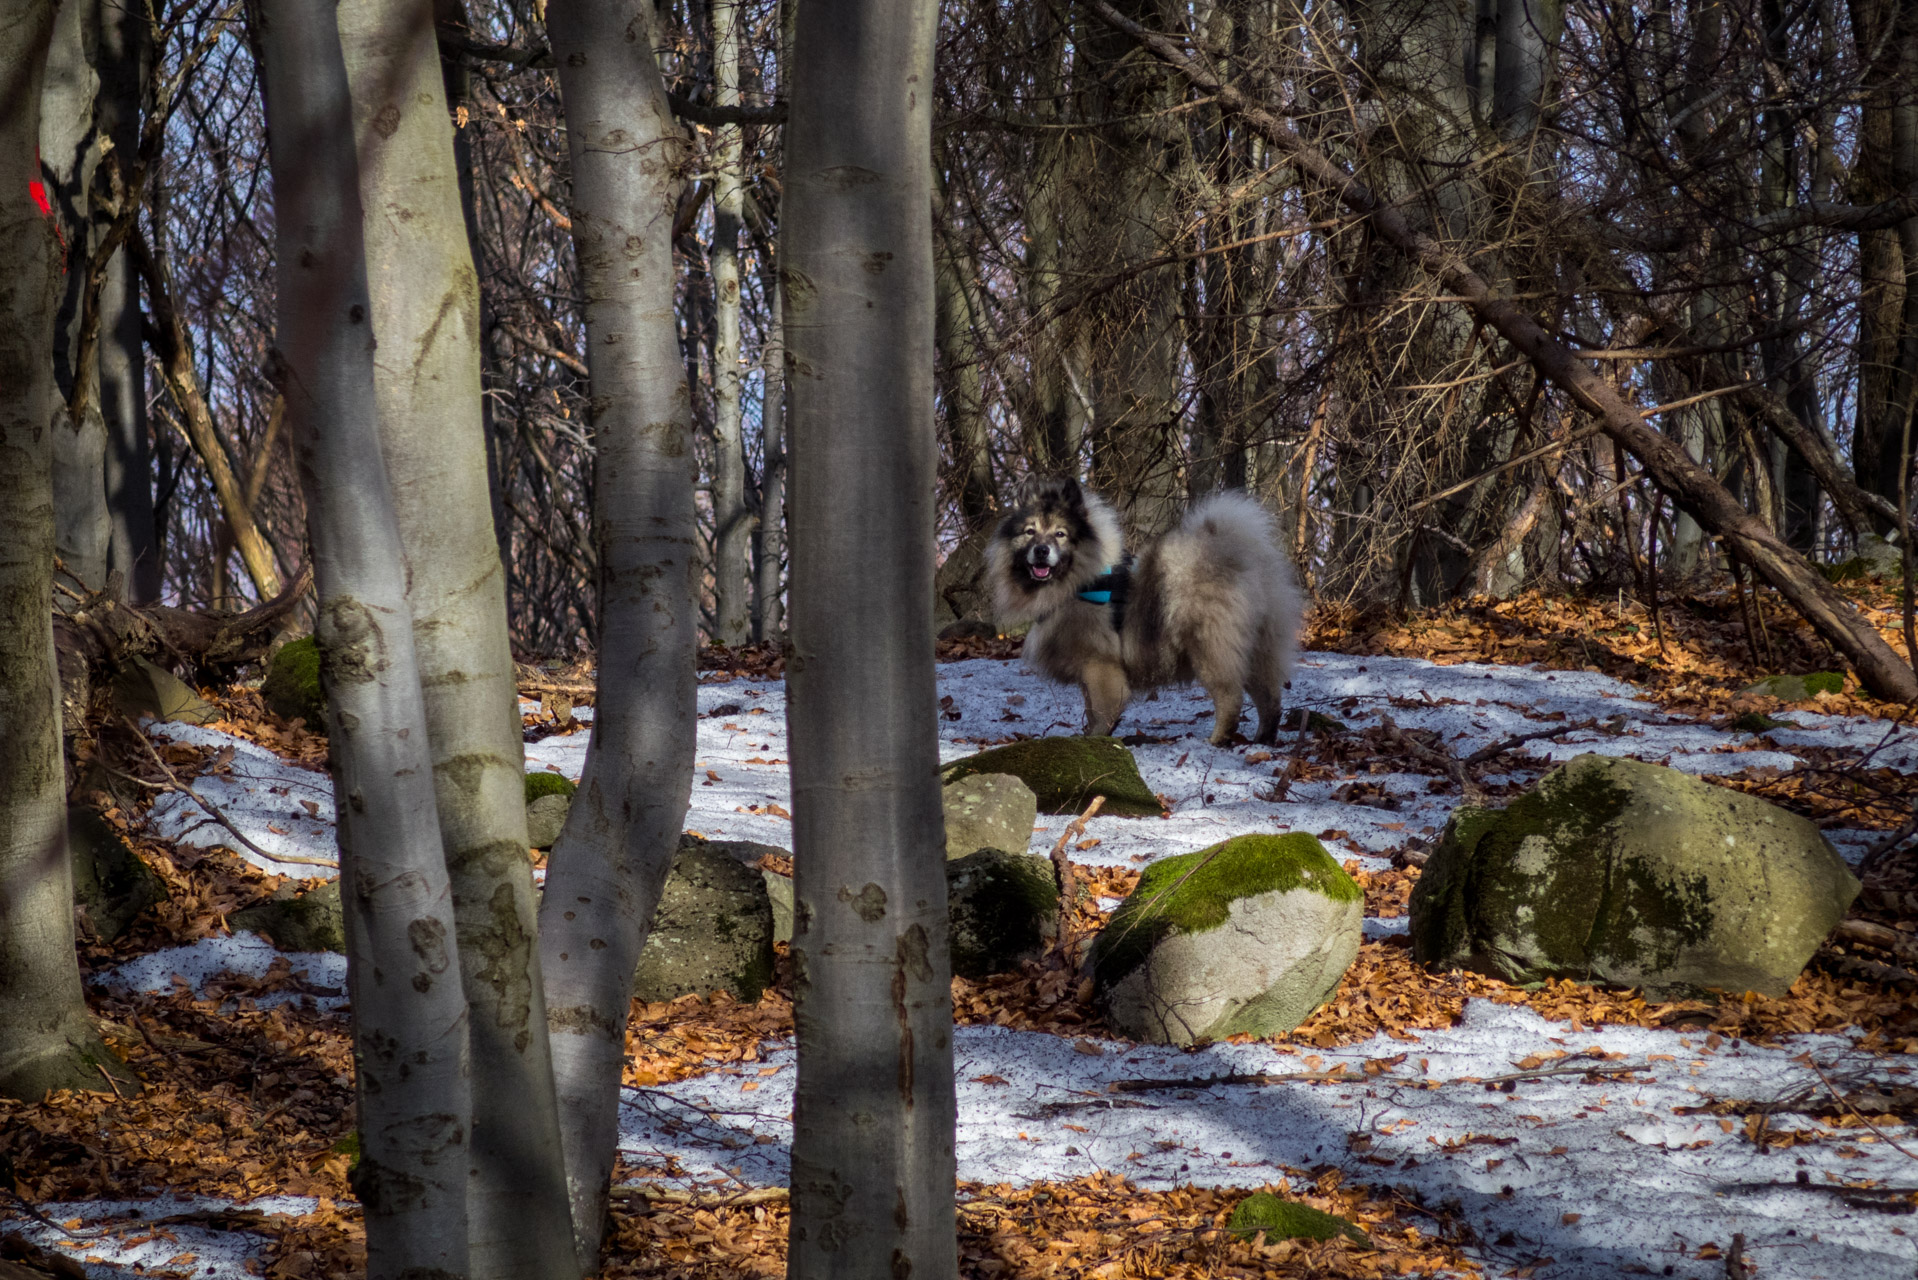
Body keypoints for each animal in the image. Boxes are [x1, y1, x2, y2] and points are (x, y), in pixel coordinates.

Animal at [989, 475, 1304, 744]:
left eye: (1060, 534)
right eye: (1030, 532)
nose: (1041, 550)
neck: (1080, 580)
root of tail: (1241, 556)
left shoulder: (1100, 665)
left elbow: (1102, 710)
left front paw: (1096, 739)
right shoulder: (1088, 672)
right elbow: (1091, 709)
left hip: (1210, 649)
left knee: (1230, 696)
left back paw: (1218, 740)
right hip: (1259, 647)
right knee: (1270, 697)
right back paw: (1263, 738)